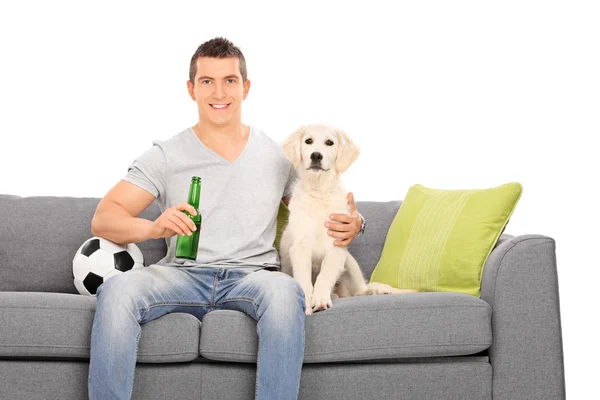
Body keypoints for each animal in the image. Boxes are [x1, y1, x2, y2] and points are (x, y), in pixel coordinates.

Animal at [280, 125, 412, 316]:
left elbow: (324, 275)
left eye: (329, 142)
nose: (316, 156)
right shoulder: (300, 247)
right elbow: (304, 278)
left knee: (362, 290)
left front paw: (320, 300)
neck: (320, 193)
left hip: (349, 261)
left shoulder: (337, 247)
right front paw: (307, 302)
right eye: (308, 141)